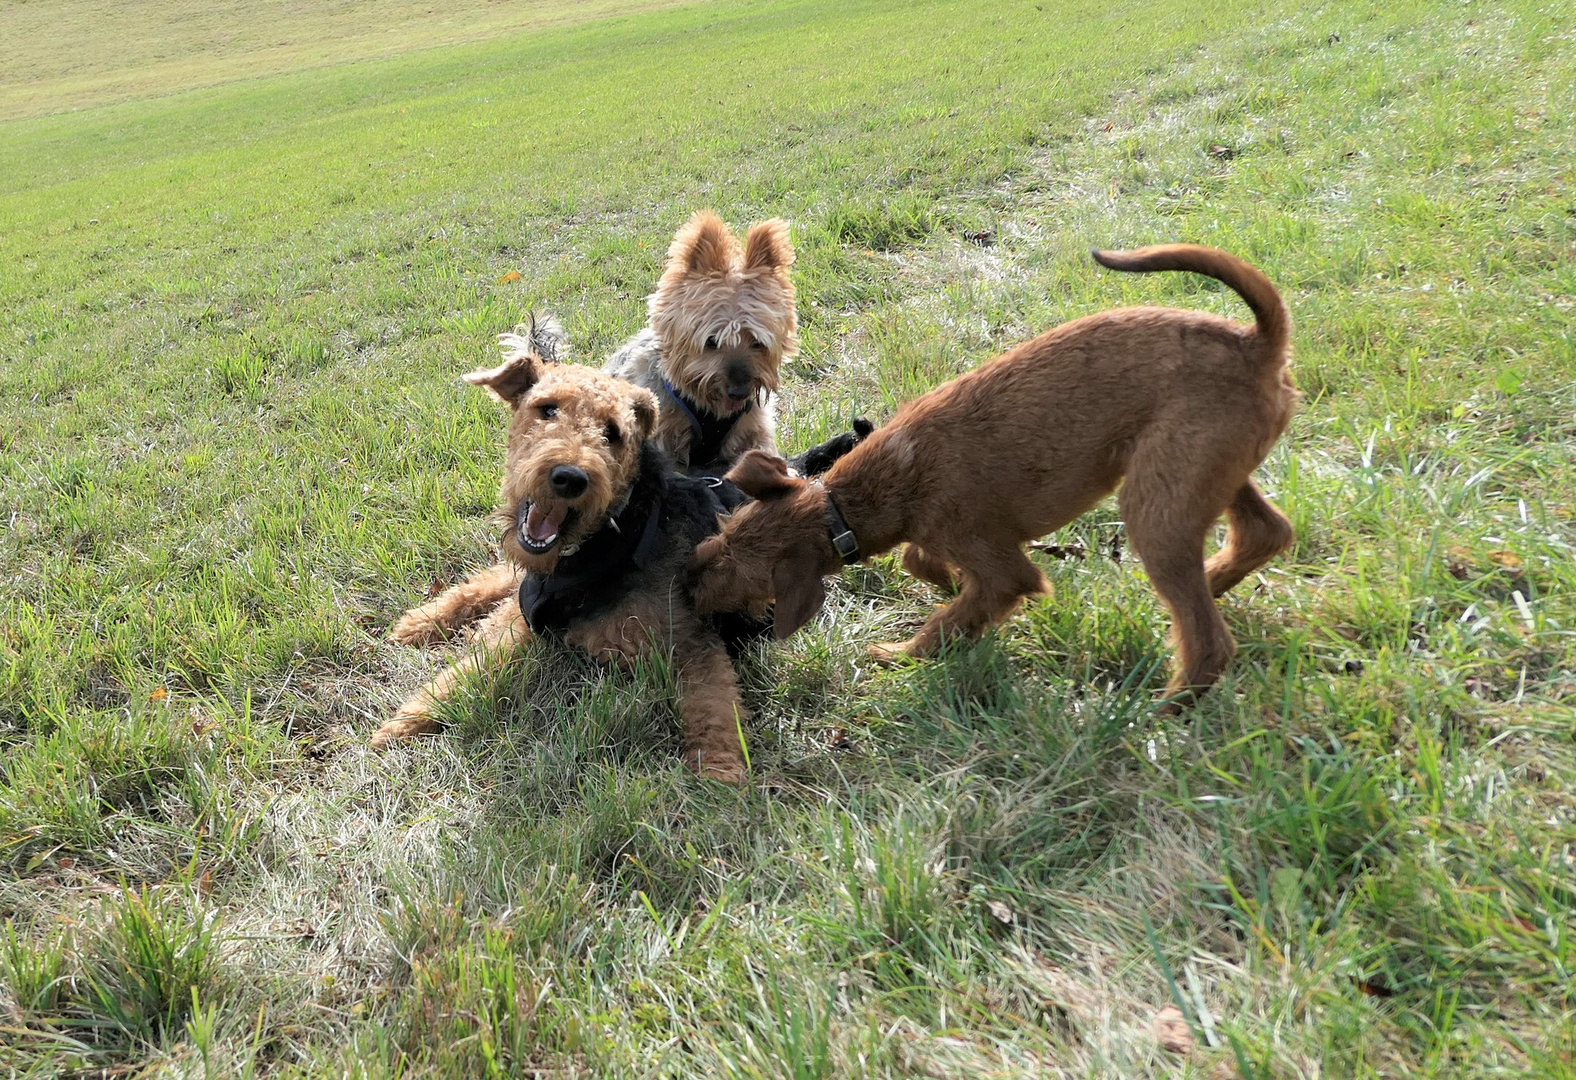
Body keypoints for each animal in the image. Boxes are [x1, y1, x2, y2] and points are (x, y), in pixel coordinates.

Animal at [696, 249, 1298, 712]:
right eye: (721, 537)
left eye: (741, 575)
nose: (688, 581)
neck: (853, 502)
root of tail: (1255, 343)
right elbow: (923, 564)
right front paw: (946, 583)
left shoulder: (1005, 571)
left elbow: (946, 622)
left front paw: (899, 655)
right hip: (1196, 476)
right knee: (1265, 533)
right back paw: (1211, 581)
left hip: (1156, 508)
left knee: (1210, 642)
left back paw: (1162, 709)